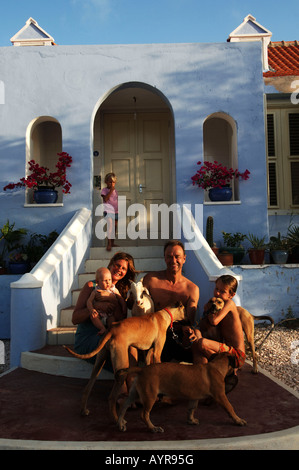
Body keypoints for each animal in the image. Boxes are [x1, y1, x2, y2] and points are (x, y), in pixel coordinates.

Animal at [116, 352, 247, 434]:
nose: (235, 376)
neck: (217, 366)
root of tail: (142, 370)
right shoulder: (221, 396)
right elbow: (230, 408)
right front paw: (238, 420)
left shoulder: (194, 397)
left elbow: (191, 409)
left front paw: (191, 421)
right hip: (150, 397)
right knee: (144, 415)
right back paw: (153, 428)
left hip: (134, 394)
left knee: (124, 407)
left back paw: (121, 423)